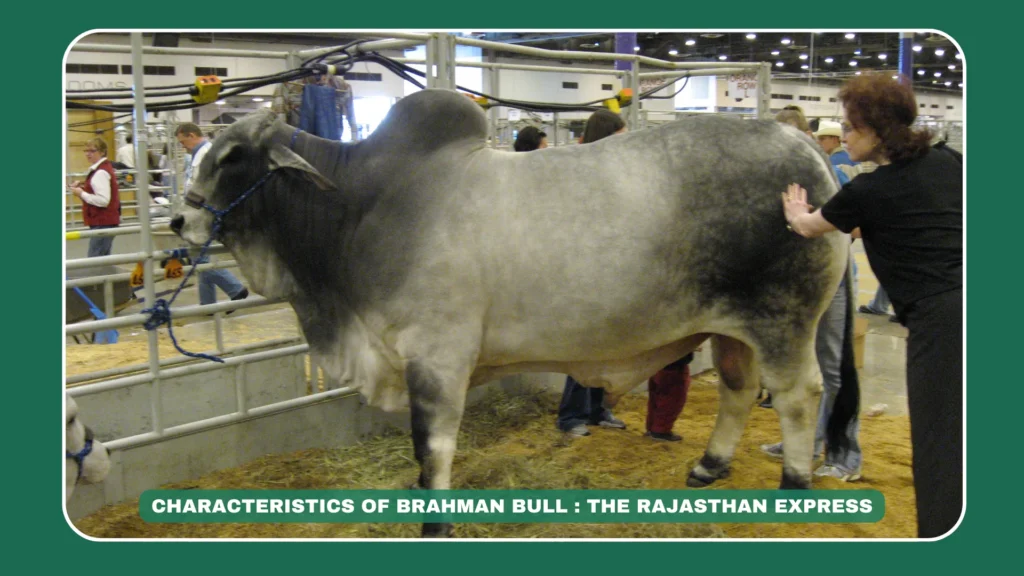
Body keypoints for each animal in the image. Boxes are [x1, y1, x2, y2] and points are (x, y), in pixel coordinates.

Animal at [170, 89, 857, 537]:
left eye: (231, 155)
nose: (180, 220)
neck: (360, 206)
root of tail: (806, 150)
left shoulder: (437, 356)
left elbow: (433, 447)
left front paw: (435, 523)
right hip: (729, 326)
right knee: (740, 390)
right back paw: (708, 467)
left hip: (783, 319)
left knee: (798, 395)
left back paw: (795, 482)